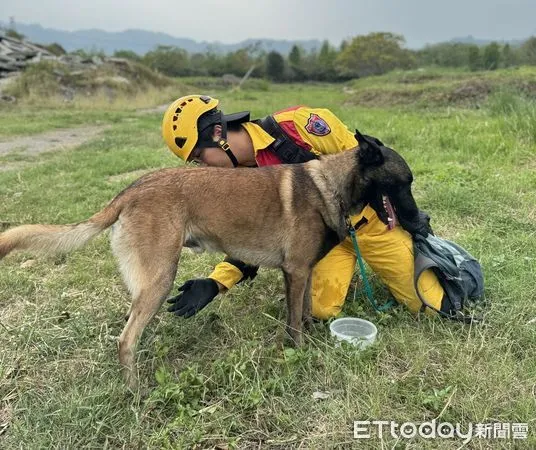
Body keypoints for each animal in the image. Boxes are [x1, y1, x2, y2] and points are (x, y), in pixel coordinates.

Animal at [0, 142, 428, 388]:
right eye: (404, 182)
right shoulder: (295, 271)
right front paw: (300, 355)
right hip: (160, 279)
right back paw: (135, 392)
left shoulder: (303, 273)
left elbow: (304, 313)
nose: (421, 221)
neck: (330, 186)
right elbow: (294, 324)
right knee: (125, 339)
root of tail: (131, 189)